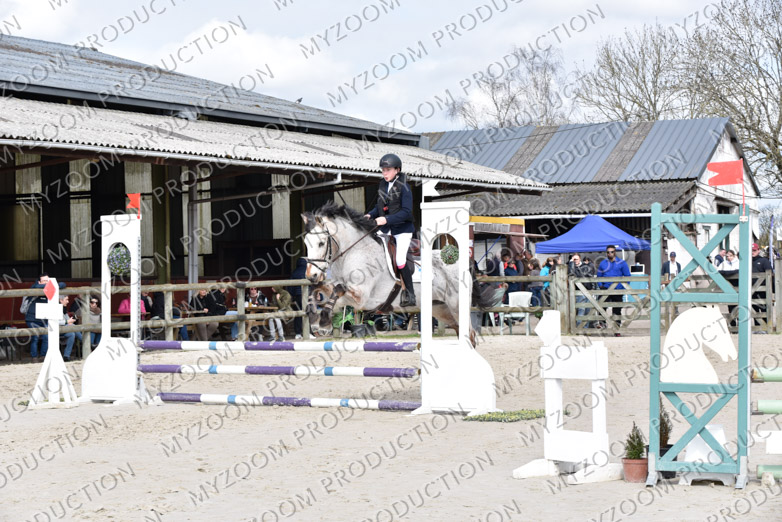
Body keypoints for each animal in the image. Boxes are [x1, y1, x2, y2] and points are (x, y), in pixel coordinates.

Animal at [301, 202, 500, 342]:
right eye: (306, 243)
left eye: (321, 243)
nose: (311, 275)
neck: (355, 251)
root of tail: (460, 260)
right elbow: (320, 290)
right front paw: (315, 319)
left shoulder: (361, 297)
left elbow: (336, 291)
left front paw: (324, 321)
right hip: (441, 309)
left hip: (456, 306)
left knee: (470, 335)